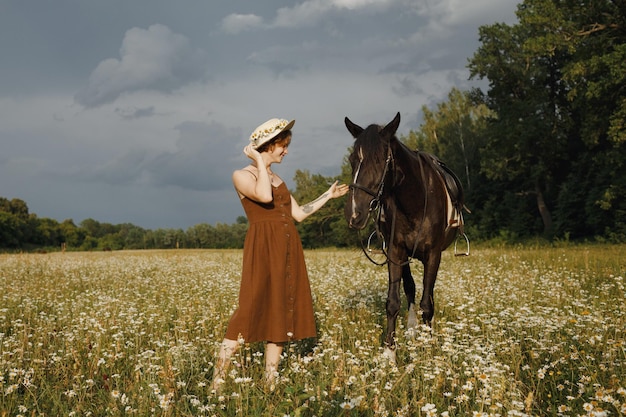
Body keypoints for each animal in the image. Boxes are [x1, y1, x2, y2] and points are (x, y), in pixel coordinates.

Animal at [344, 112, 466, 360]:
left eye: (380, 160)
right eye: (352, 160)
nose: (354, 214)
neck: (416, 200)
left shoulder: (433, 255)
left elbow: (427, 303)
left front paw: (428, 350)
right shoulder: (395, 252)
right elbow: (393, 301)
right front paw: (389, 353)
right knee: (410, 288)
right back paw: (411, 330)